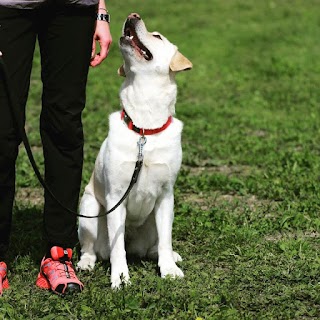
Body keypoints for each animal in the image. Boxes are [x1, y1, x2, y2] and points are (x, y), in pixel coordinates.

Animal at [77, 12, 192, 288]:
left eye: (158, 36)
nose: (133, 15)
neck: (144, 130)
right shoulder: (115, 197)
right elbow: (117, 249)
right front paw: (120, 278)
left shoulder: (166, 196)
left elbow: (166, 239)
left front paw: (169, 270)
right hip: (88, 210)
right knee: (90, 248)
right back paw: (85, 263)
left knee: (155, 246)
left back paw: (170, 255)